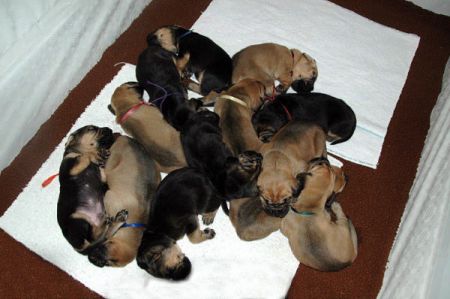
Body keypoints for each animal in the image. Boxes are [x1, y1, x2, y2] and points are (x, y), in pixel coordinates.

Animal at [57, 125, 117, 254]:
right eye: (91, 128)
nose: (109, 129)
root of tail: (77, 247)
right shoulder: (71, 166)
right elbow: (86, 155)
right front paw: (95, 153)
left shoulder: (102, 174)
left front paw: (100, 155)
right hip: (77, 219)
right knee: (92, 238)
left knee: (95, 235)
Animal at [85, 135, 161, 268]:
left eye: (109, 263)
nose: (91, 258)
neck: (134, 224)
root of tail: (123, 137)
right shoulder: (108, 196)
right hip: (112, 161)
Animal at [138, 152, 264, 282]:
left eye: (171, 269)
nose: (186, 270)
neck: (158, 231)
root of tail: (215, 182)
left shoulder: (190, 218)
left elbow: (193, 238)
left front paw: (207, 233)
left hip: (206, 202)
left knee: (219, 199)